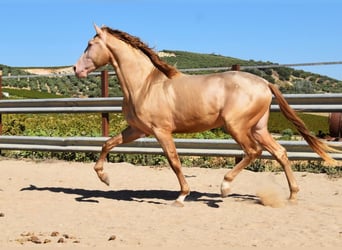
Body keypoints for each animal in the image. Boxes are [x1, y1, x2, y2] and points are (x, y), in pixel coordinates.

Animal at [73, 24, 338, 206]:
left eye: (89, 44)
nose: (76, 69)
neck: (145, 84)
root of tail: (264, 83)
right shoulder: (138, 130)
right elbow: (107, 144)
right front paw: (105, 178)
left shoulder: (161, 131)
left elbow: (174, 161)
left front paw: (181, 196)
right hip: (258, 128)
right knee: (281, 153)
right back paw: (292, 196)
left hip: (237, 126)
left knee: (253, 152)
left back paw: (225, 187)